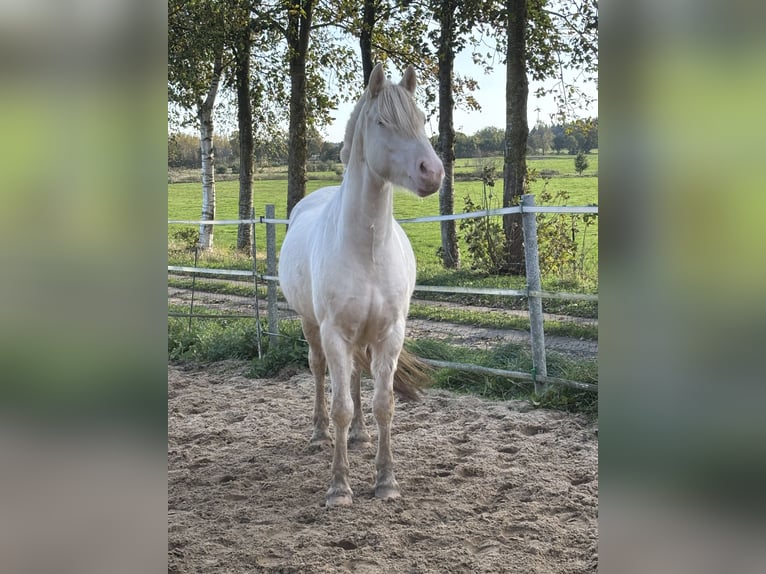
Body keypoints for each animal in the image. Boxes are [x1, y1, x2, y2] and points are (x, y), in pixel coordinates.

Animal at [280, 64, 444, 508]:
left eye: (423, 119)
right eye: (383, 122)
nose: (433, 172)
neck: (367, 248)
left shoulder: (390, 334)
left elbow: (382, 405)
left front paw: (386, 481)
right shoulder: (334, 332)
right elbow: (341, 406)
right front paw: (339, 487)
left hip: (362, 337)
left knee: (355, 379)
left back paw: (360, 436)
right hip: (312, 326)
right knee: (321, 372)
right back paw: (320, 433)